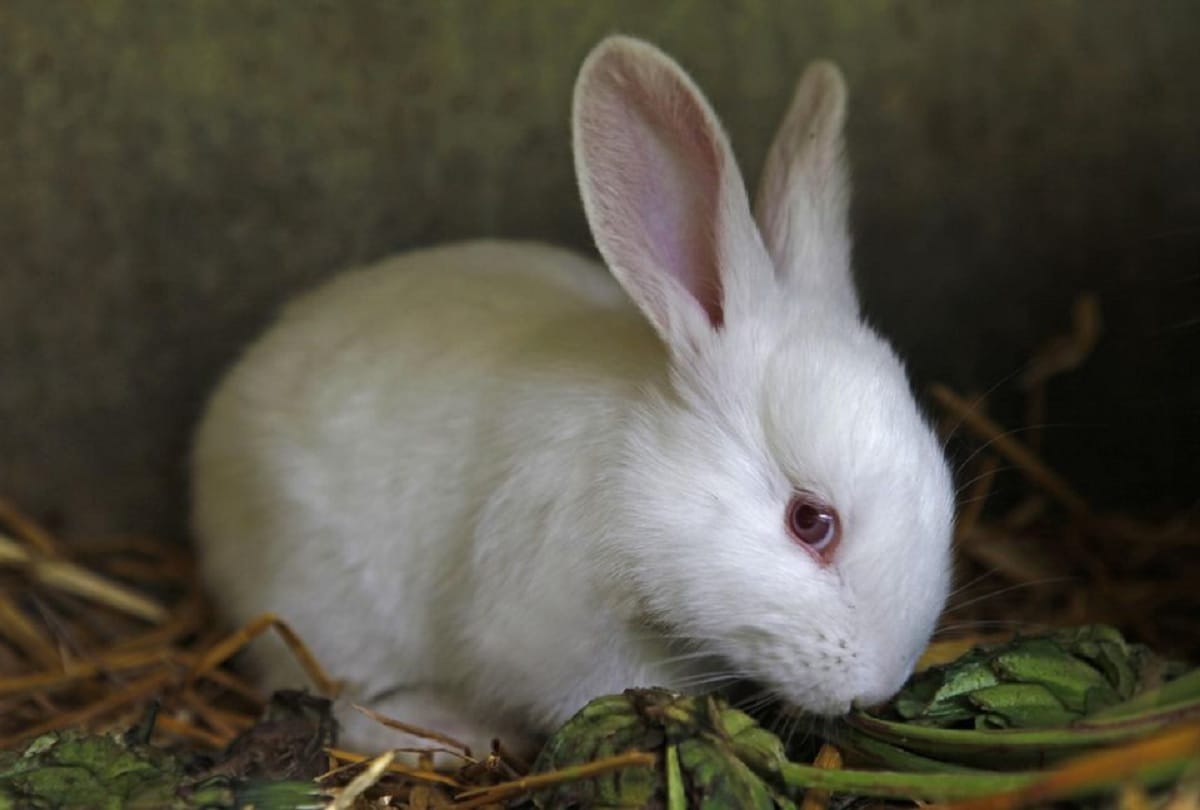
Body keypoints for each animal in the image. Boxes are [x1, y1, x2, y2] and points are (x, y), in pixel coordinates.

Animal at [191, 35, 955, 757]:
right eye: (810, 522)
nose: (880, 686)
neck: (644, 482)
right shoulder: (548, 625)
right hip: (322, 604)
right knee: (339, 700)